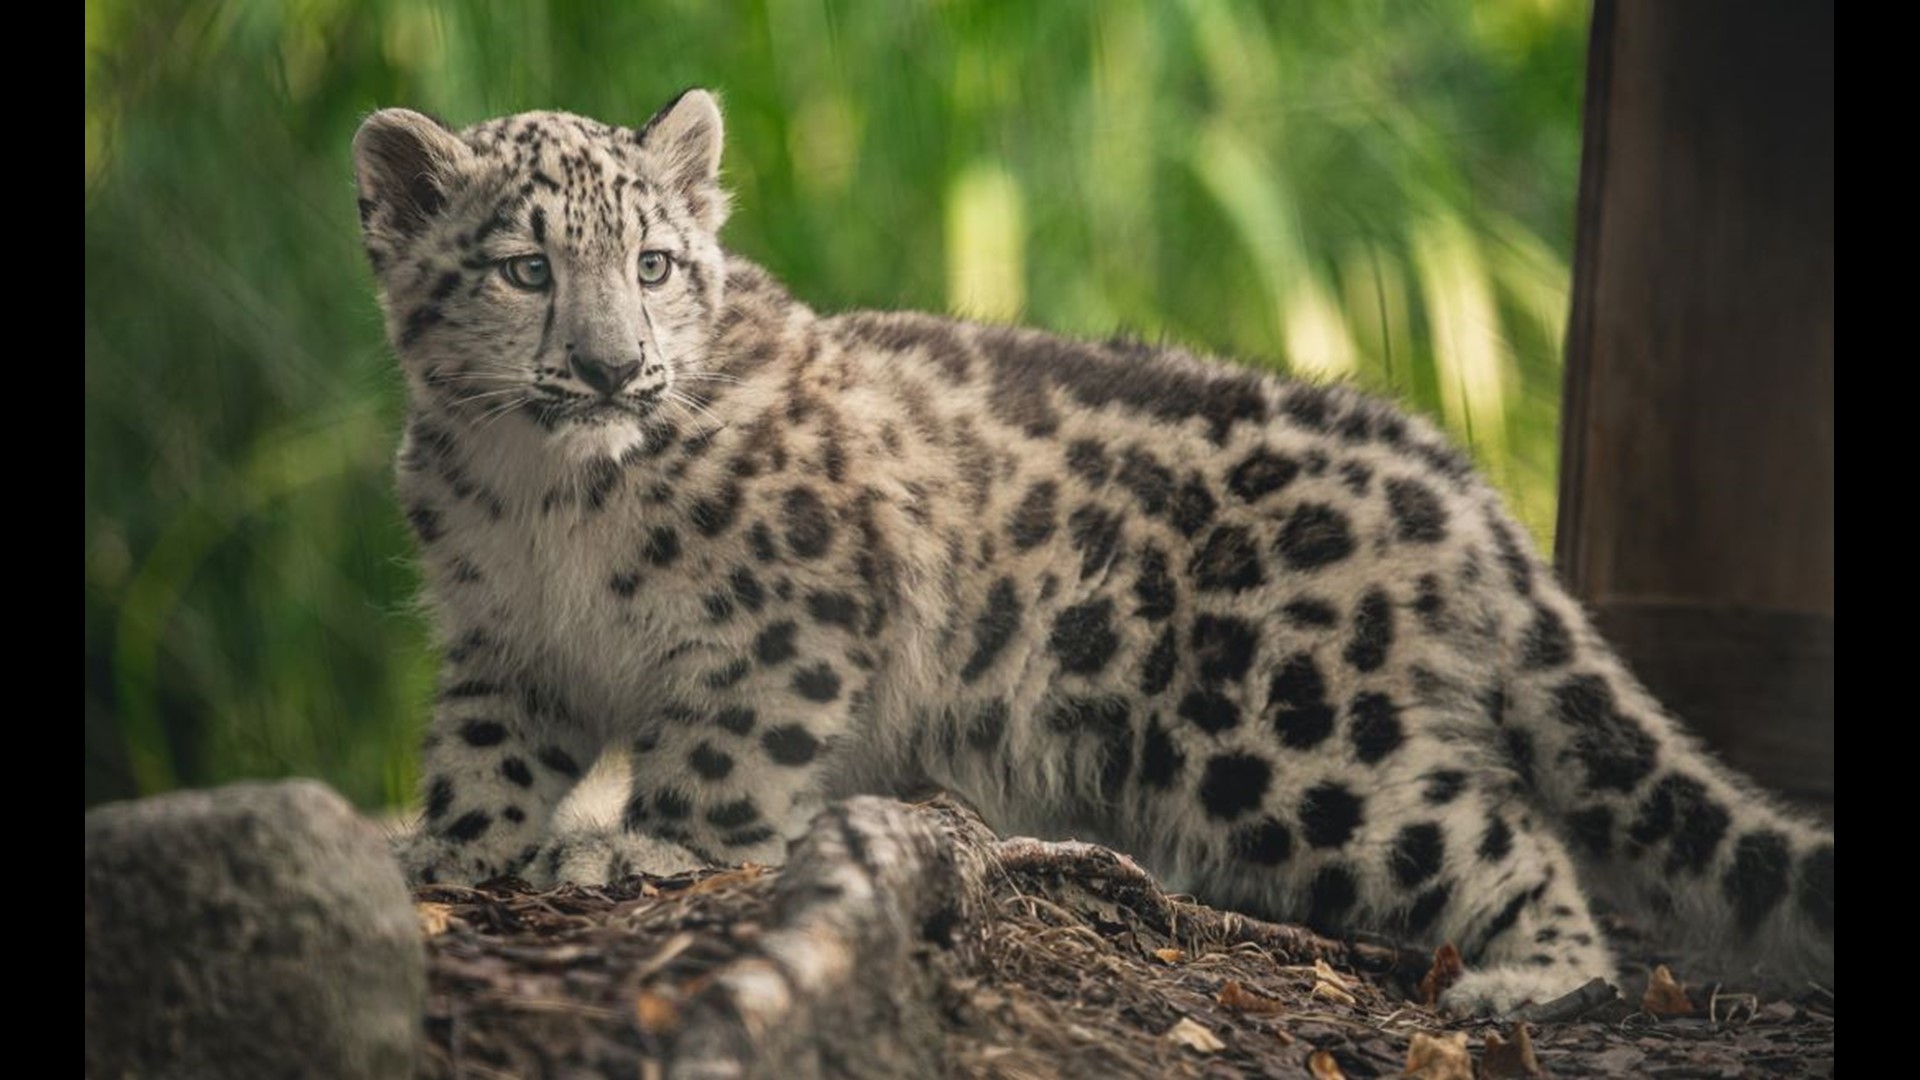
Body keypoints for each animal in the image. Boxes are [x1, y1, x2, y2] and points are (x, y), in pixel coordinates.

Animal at [352, 88, 1834, 1015]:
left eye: (654, 265)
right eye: (528, 271)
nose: (611, 367)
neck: (545, 501)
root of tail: (1450, 479)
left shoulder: (793, 616)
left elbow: (728, 749)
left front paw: (645, 848)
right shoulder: (499, 637)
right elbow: (485, 752)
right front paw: (454, 850)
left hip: (1298, 745)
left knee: (1506, 834)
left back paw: (1532, 977)